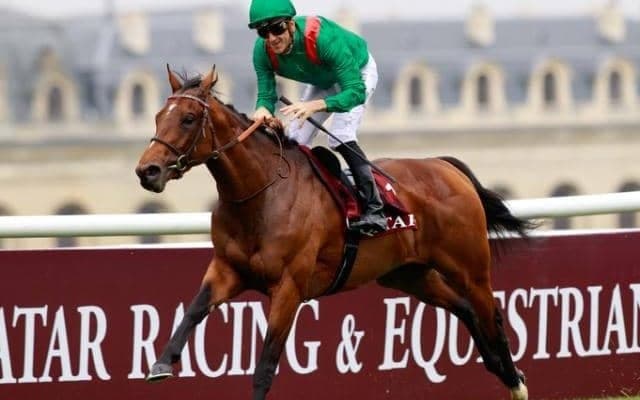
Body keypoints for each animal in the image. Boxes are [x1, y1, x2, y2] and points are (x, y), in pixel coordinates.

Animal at [135, 65, 532, 400]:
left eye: (188, 119)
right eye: (157, 116)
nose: (147, 171)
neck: (261, 194)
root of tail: (446, 167)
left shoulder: (289, 288)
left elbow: (264, 367)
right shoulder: (227, 270)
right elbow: (193, 310)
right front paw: (161, 363)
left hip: (468, 266)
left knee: (492, 315)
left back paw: (515, 382)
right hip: (407, 274)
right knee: (464, 309)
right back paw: (500, 369)